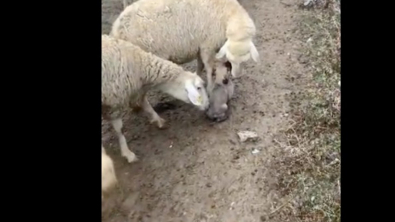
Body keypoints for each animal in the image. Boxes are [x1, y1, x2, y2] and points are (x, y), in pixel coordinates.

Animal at [101, 35, 210, 163]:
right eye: (198, 88)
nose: (208, 105)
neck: (139, 64)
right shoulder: (113, 102)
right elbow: (120, 129)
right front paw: (128, 153)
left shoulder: (135, 92)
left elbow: (145, 104)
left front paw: (158, 120)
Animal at [110, 0, 260, 94]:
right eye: (230, 59)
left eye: (245, 60)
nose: (236, 75)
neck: (227, 14)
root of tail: (117, 29)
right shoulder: (207, 45)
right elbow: (209, 68)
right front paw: (210, 88)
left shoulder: (200, 45)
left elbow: (200, 65)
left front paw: (198, 78)